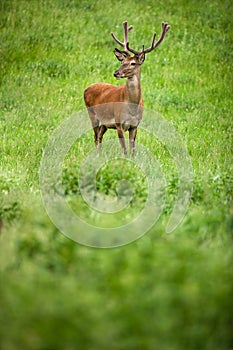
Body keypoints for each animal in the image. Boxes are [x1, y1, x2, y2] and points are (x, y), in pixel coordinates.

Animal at [83, 20, 169, 154]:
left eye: (133, 63)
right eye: (122, 62)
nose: (116, 73)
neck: (132, 106)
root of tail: (86, 89)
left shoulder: (135, 125)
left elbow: (132, 150)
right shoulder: (119, 123)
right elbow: (124, 150)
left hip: (104, 123)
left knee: (99, 136)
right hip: (92, 113)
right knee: (96, 137)